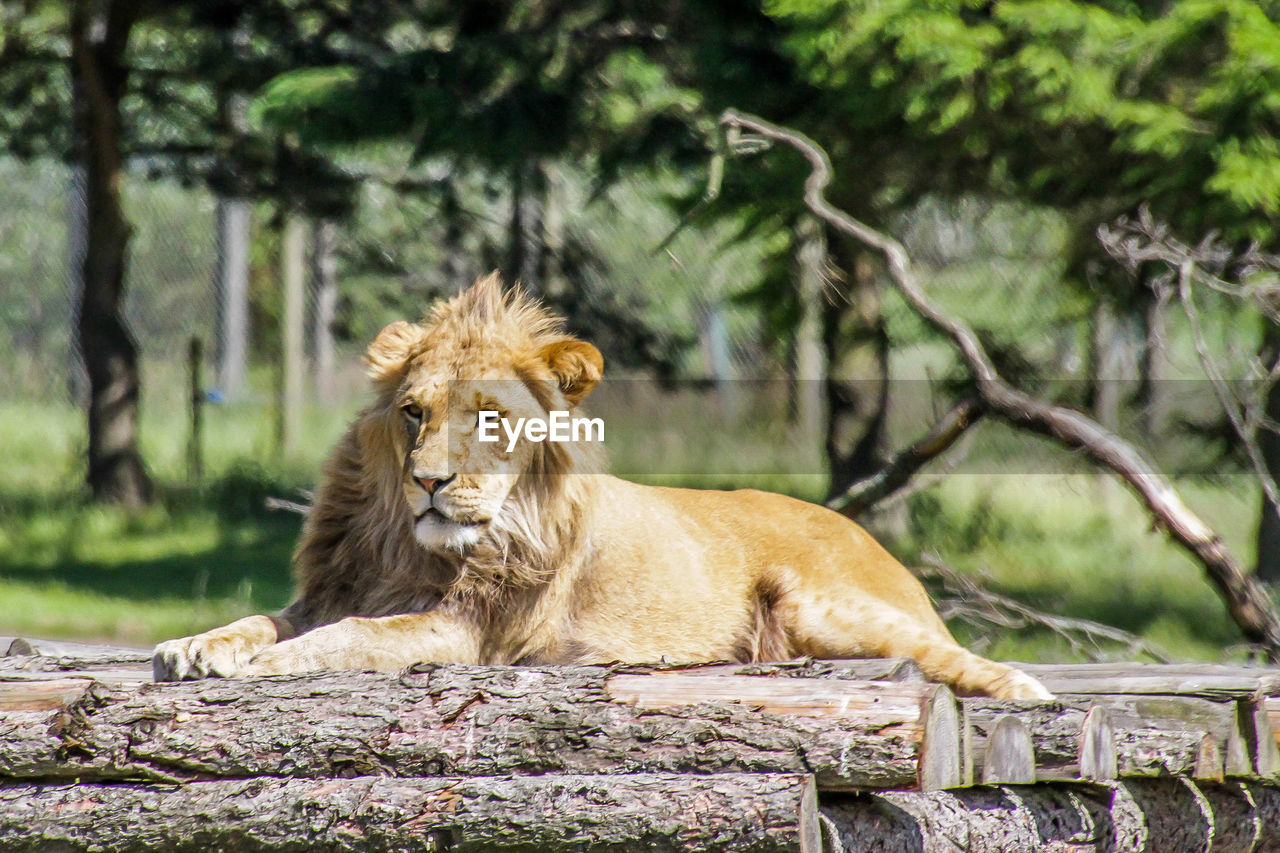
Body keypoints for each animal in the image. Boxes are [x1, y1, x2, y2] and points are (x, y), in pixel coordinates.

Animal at [152, 272, 1049, 696]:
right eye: (413, 412)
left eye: (489, 417)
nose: (430, 482)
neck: (411, 546)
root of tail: (862, 529)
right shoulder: (339, 586)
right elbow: (266, 618)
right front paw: (195, 645)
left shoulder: (471, 632)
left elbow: (350, 638)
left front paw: (266, 665)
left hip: (820, 604)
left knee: (950, 649)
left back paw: (1025, 686)